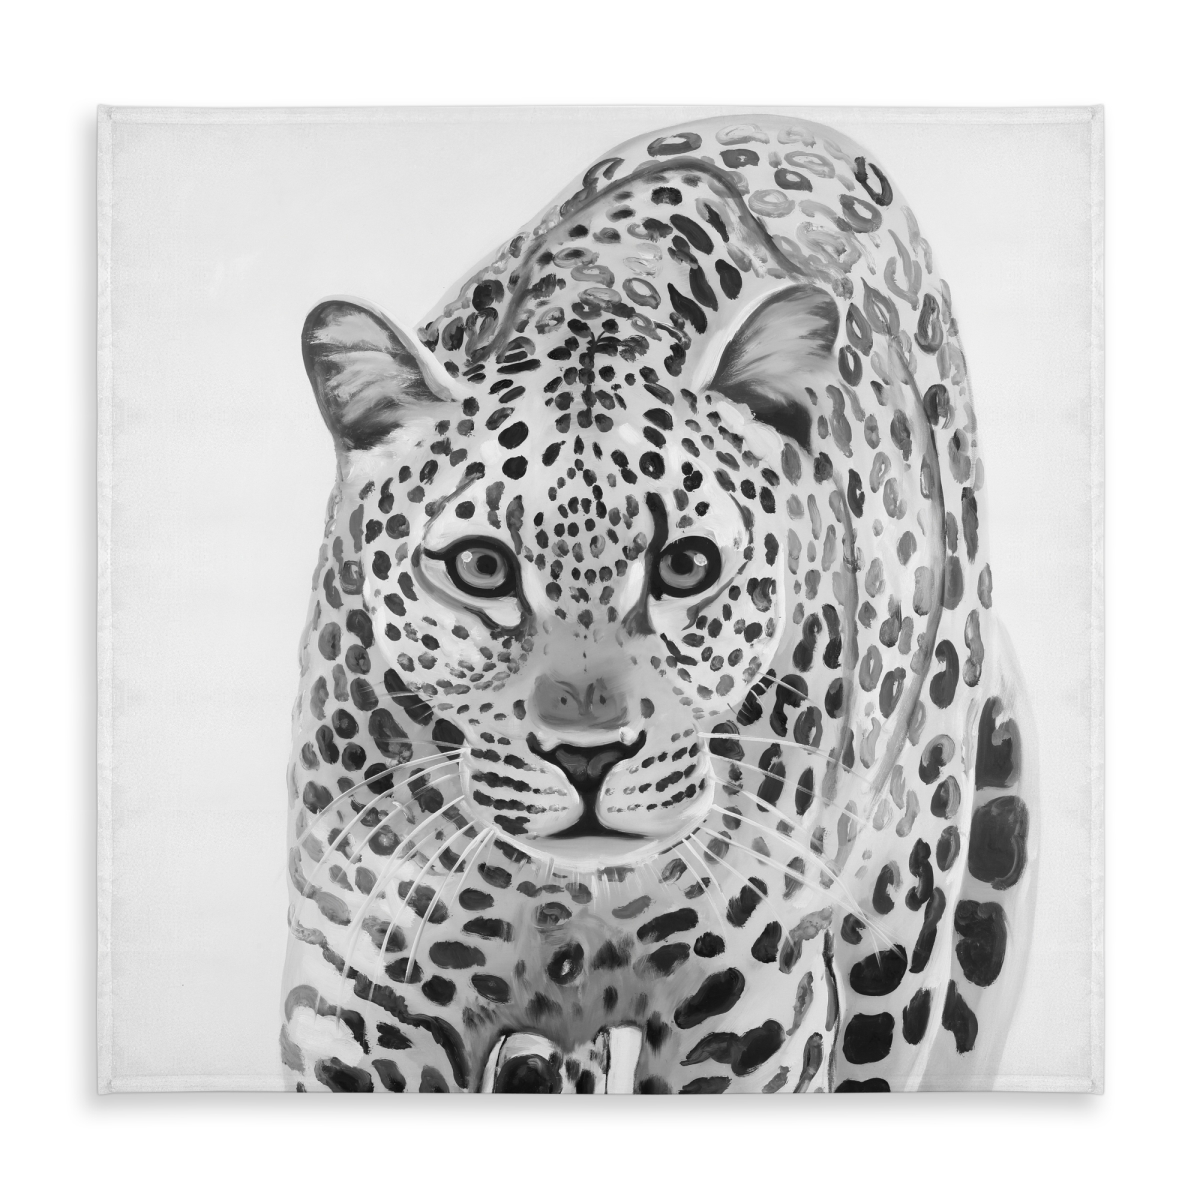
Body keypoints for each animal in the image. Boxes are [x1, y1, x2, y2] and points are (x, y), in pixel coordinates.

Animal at [279, 113, 1037, 1094]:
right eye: (482, 567)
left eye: (685, 566)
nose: (588, 756)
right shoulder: (359, 997)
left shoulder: (755, 1007)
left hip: (907, 900)